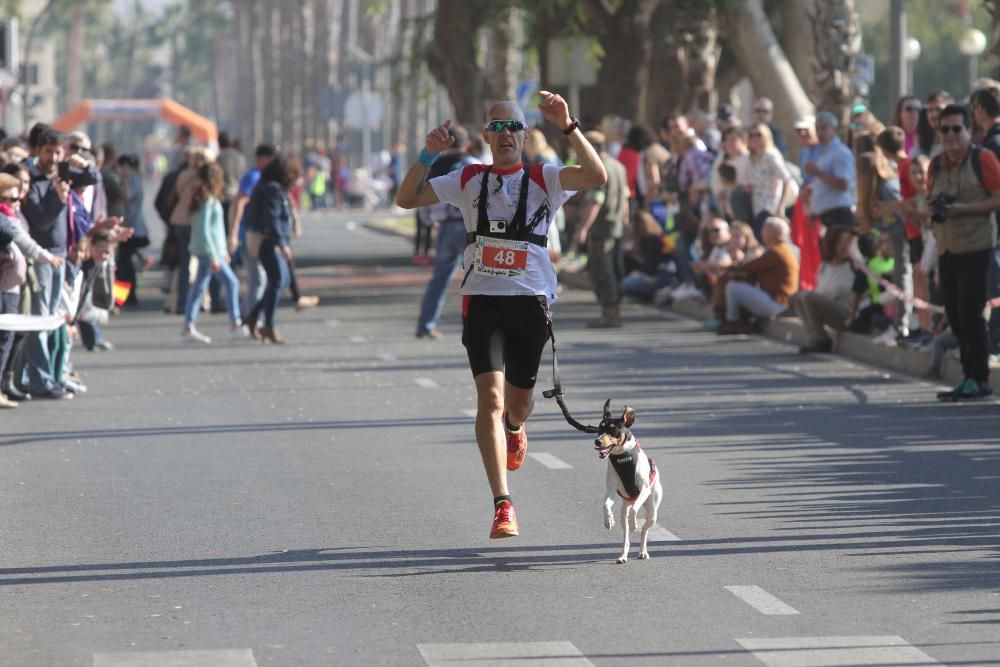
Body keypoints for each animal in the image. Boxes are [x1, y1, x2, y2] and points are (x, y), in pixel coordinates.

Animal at [592, 402, 664, 564]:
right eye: (600, 428)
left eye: (613, 430)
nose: (597, 441)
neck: (623, 456)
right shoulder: (611, 490)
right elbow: (605, 504)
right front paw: (608, 520)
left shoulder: (643, 490)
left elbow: (634, 511)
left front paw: (634, 523)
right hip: (623, 511)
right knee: (626, 537)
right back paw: (623, 556)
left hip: (652, 511)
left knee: (644, 530)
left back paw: (642, 550)